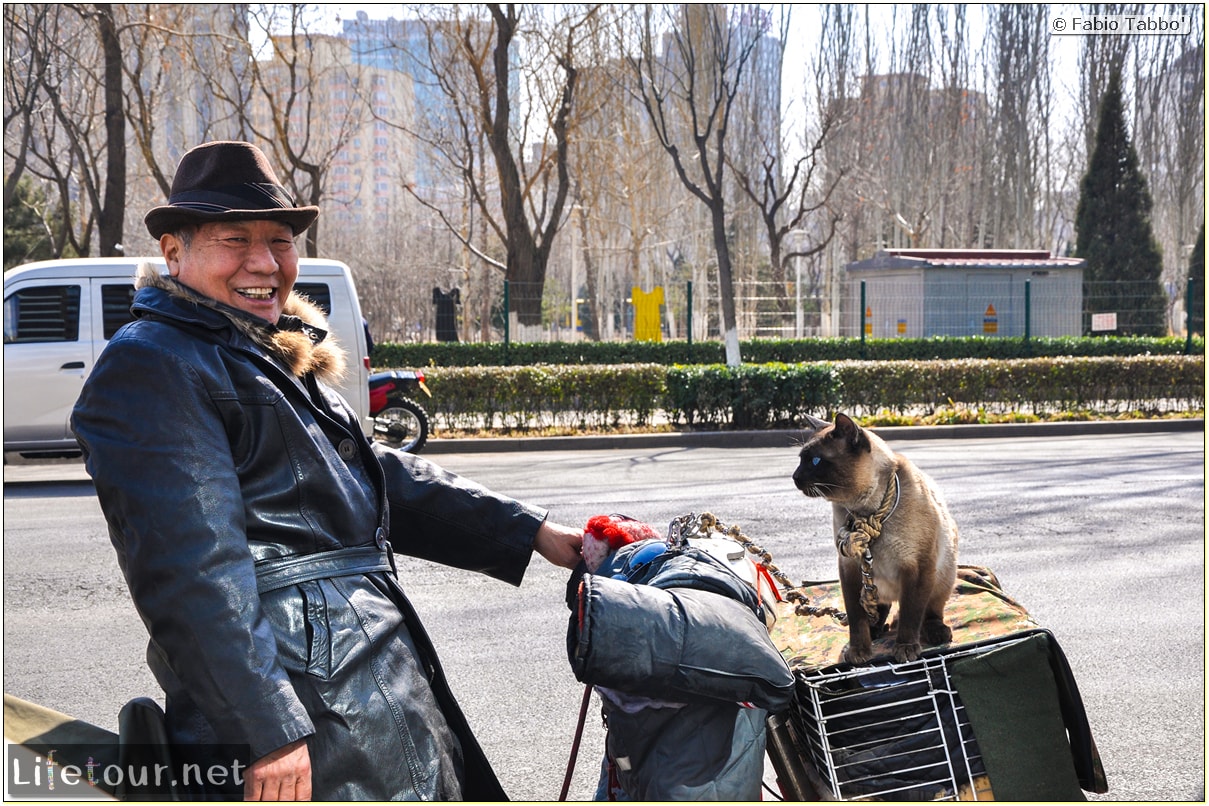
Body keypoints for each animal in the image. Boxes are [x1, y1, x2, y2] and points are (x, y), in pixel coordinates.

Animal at [797, 413, 957, 667]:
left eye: (814, 461)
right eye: (800, 460)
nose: (794, 477)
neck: (867, 511)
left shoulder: (917, 568)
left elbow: (911, 614)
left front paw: (905, 648)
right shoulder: (850, 567)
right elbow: (856, 619)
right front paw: (859, 652)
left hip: (943, 575)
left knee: (928, 610)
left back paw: (934, 632)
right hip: (872, 582)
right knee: (879, 608)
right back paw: (876, 630)